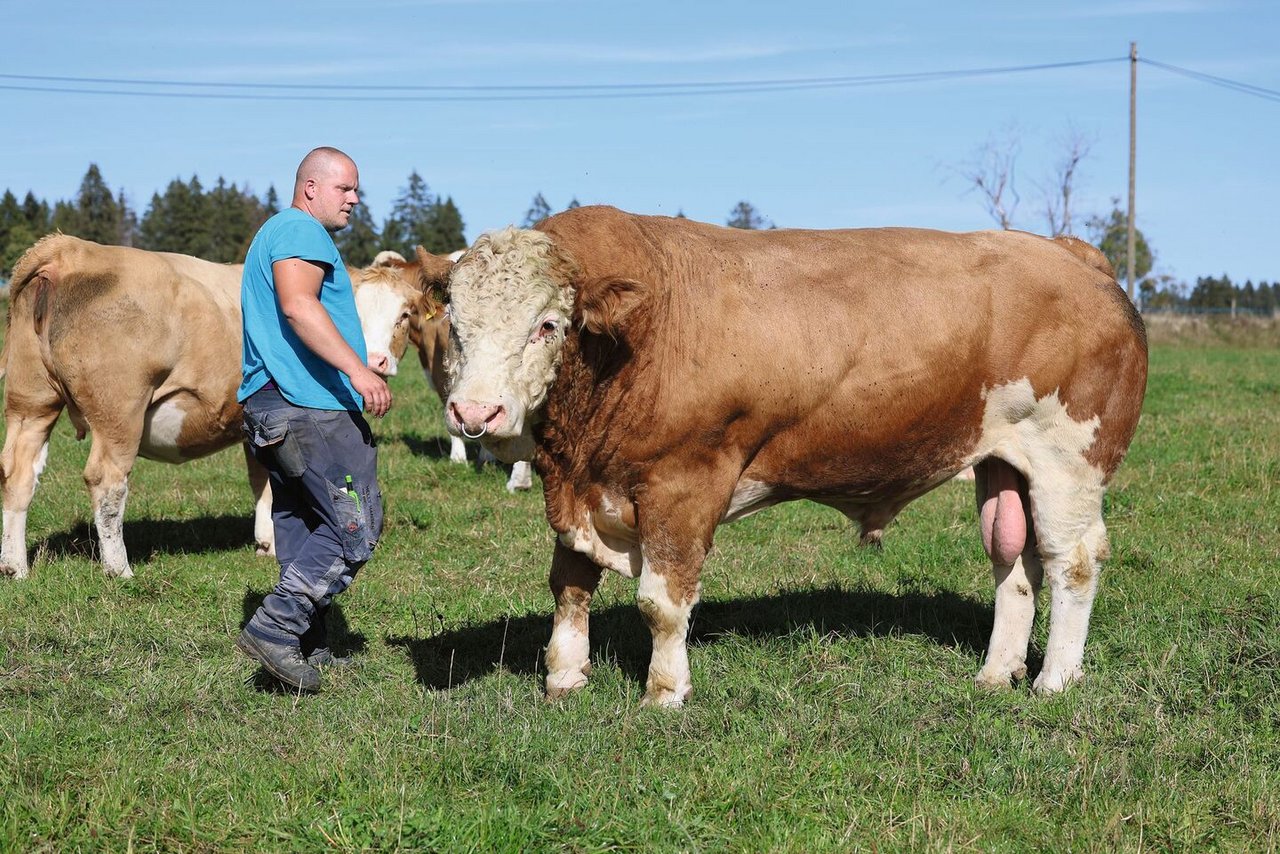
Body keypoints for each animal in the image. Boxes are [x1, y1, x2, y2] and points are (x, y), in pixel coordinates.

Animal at [0, 234, 432, 581]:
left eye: (403, 315)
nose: (374, 362)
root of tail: (68, 249)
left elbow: (264, 478)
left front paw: (267, 542)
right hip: (119, 411)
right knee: (106, 482)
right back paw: (119, 569)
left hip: (30, 402)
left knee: (17, 472)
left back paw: (15, 567)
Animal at [442, 204, 1152, 706]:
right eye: (454, 323)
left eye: (547, 324)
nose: (475, 413)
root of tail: (1070, 253)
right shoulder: (577, 484)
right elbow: (569, 584)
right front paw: (564, 677)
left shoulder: (683, 484)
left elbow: (661, 602)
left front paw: (664, 693)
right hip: (1004, 461)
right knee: (1015, 561)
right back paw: (996, 673)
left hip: (1068, 460)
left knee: (1072, 561)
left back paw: (1054, 681)